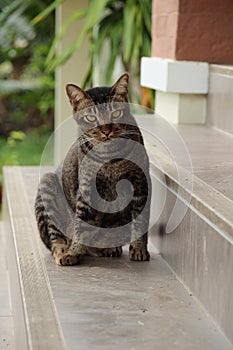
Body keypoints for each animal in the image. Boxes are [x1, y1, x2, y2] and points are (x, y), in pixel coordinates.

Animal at [34, 74, 151, 266]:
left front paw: (139, 249)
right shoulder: (87, 187)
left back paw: (107, 248)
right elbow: (81, 225)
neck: (110, 159)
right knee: (55, 240)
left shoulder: (140, 183)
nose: (106, 131)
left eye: (116, 113)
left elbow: (140, 222)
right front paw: (73, 252)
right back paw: (64, 252)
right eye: (90, 118)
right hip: (47, 185)